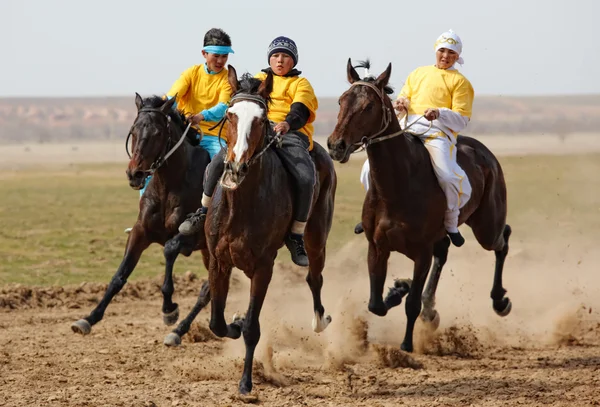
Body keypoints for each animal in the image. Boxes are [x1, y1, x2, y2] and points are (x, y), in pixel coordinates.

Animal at [70, 95, 212, 334]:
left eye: (158, 133)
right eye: (133, 130)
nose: (135, 173)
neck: (169, 185)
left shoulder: (192, 236)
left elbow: (169, 252)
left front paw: (169, 309)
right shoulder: (140, 232)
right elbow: (119, 276)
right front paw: (89, 318)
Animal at [173, 67, 338, 396]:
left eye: (262, 119)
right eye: (230, 114)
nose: (235, 167)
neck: (241, 205)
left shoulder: (263, 267)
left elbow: (252, 328)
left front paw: (246, 382)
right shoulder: (219, 261)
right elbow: (217, 322)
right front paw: (234, 321)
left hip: (317, 238)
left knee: (314, 276)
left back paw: (319, 319)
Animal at [326, 59, 512, 354]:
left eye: (368, 107)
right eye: (342, 100)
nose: (336, 146)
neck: (397, 186)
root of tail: (485, 153)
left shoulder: (421, 252)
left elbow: (410, 304)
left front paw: (406, 342)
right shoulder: (377, 246)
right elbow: (375, 304)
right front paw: (398, 289)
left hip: (487, 227)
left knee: (502, 239)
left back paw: (500, 301)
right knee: (445, 251)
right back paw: (430, 309)